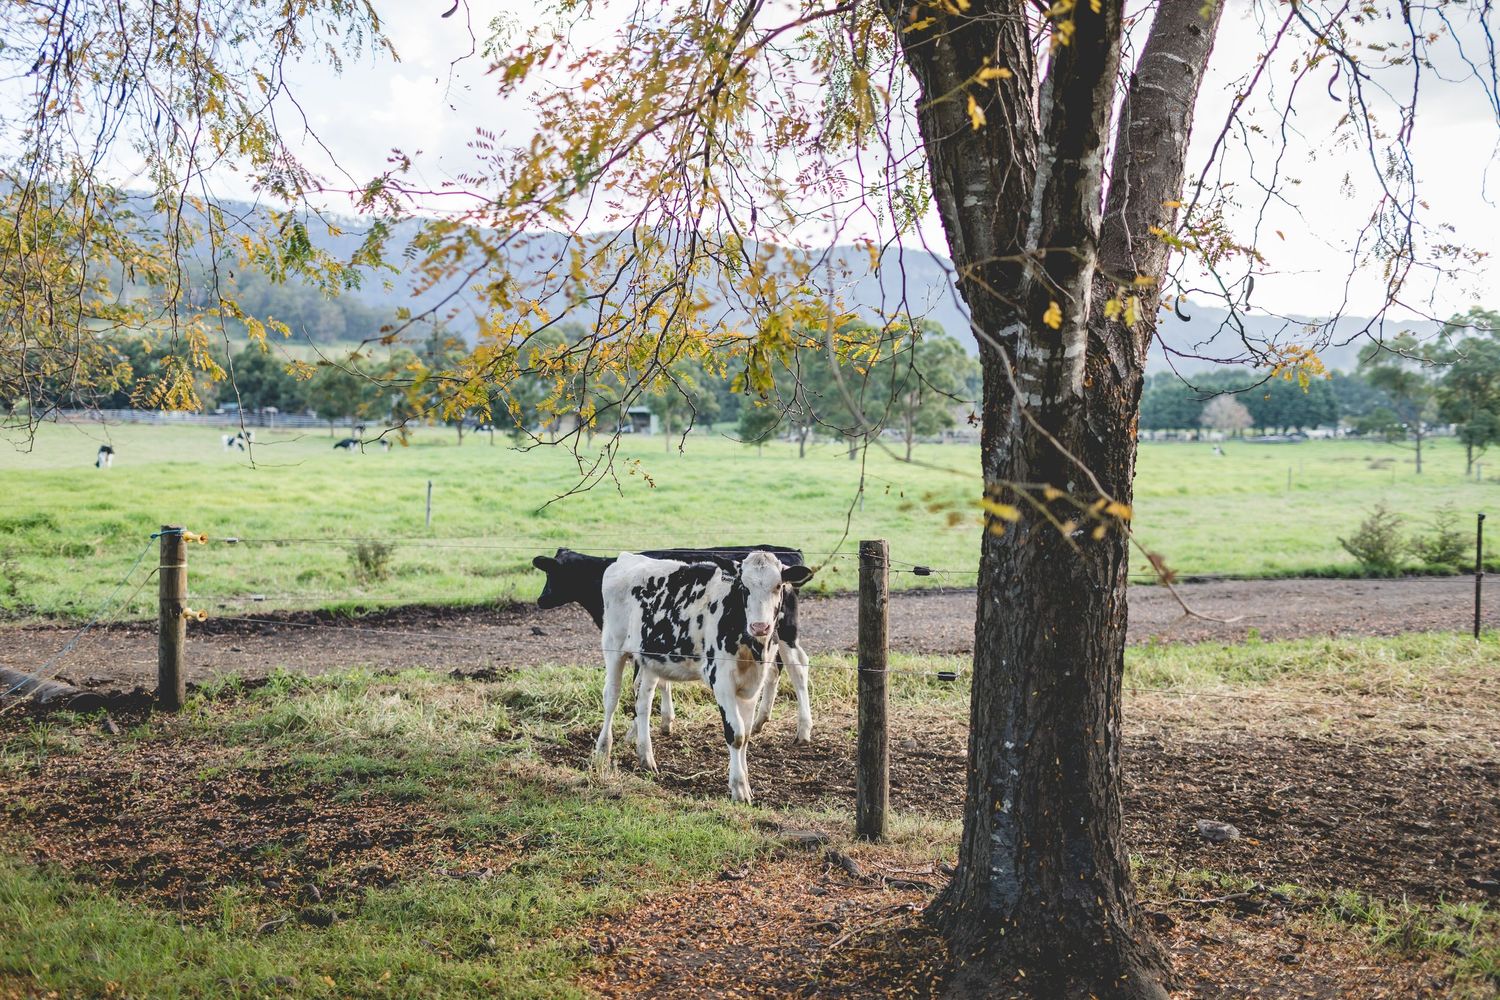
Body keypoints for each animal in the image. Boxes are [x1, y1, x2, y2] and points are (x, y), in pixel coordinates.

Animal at [532, 545, 814, 743]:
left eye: (554, 573)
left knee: (797, 668)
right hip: (776, 636)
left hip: (785, 631)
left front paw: (640, 729)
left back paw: (803, 730)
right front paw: (665, 721)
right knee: (778, 669)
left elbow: (642, 685)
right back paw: (760, 721)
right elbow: (660, 681)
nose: (540, 599)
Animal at [596, 550, 813, 802]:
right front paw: (738, 788)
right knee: (611, 698)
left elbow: (746, 734)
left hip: (650, 659)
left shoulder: (751, 686)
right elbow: (736, 733)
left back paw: (646, 758)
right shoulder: (722, 680)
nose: (760, 626)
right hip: (613, 646)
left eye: (778, 586)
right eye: (743, 587)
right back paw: (602, 750)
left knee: (643, 703)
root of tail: (626, 558)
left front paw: (746, 783)